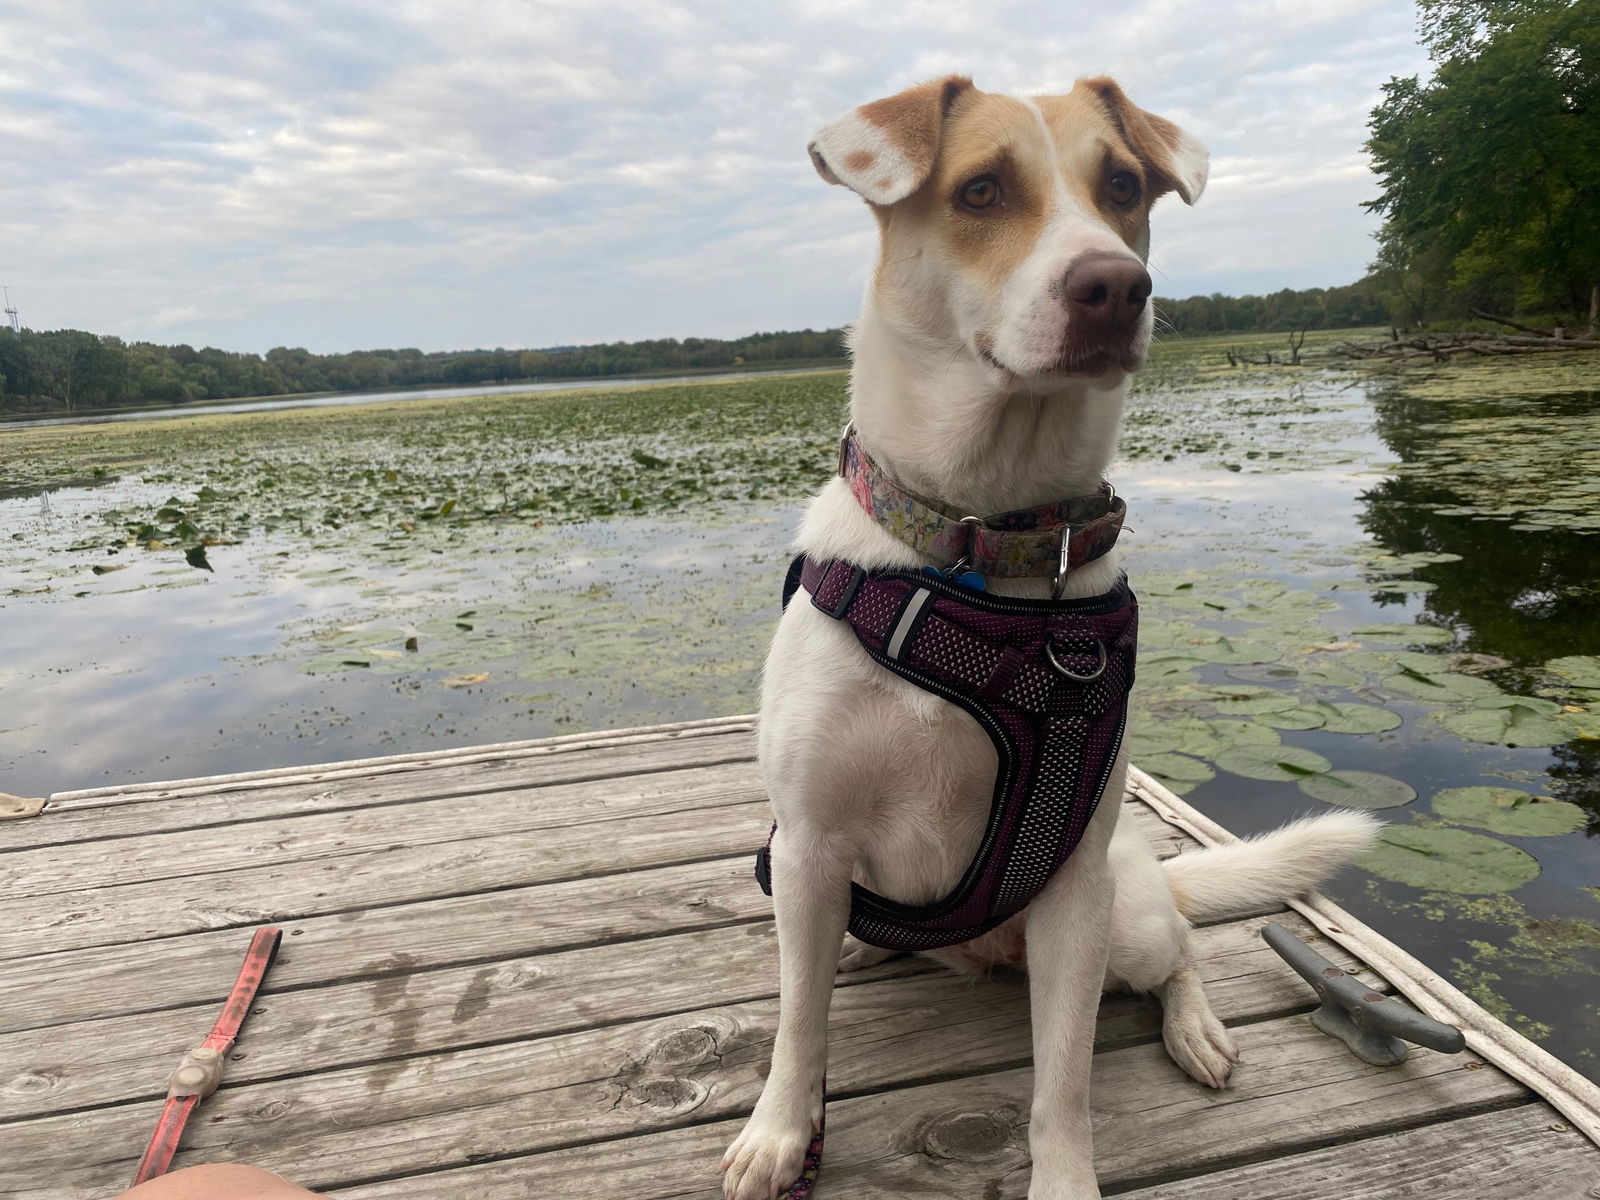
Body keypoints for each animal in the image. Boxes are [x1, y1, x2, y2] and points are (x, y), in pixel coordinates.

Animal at [723, 77, 1376, 1200]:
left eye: (1123, 187)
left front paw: (1064, 1175)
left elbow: (1061, 1074)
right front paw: (779, 1132)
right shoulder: (805, 849)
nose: (1116, 286)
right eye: (981, 190)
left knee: (1182, 955)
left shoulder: (1071, 890)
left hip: (1126, 915)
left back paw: (1197, 1030)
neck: (979, 550)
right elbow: (798, 1027)